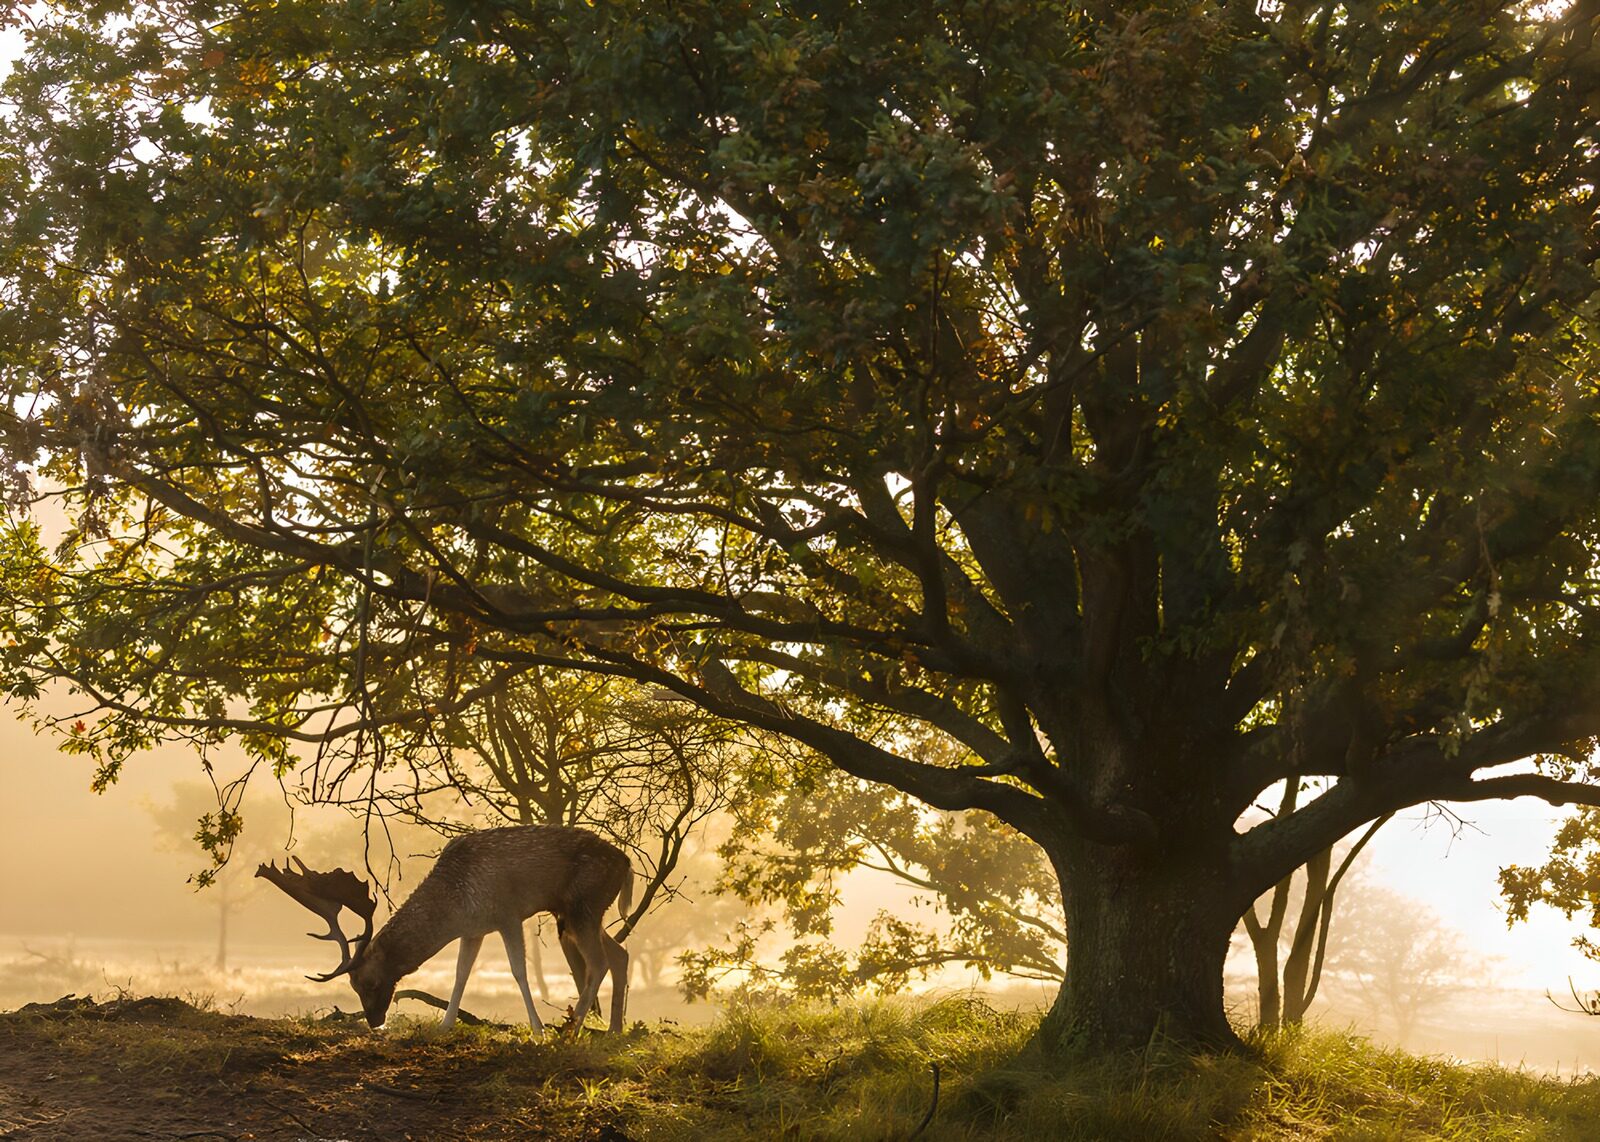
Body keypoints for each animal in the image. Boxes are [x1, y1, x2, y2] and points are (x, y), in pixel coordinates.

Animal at [257, 825, 632, 1032]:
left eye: (368, 982)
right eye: (352, 985)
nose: (375, 1020)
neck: (456, 902)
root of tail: (627, 864)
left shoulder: (508, 914)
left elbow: (518, 971)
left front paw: (538, 1029)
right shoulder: (474, 929)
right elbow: (461, 973)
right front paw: (445, 1024)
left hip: (583, 905)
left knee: (598, 962)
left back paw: (573, 1025)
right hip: (579, 913)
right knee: (620, 953)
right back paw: (615, 1029)